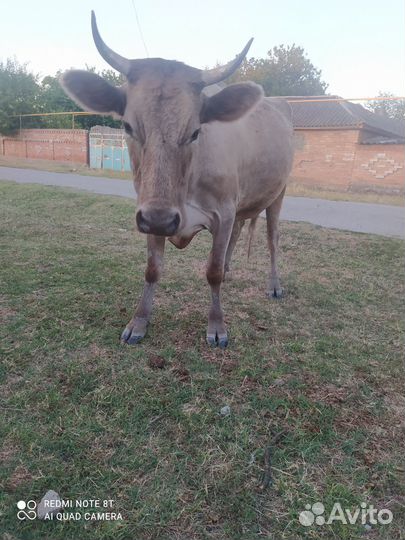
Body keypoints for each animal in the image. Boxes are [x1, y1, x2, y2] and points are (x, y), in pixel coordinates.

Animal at [60, 13, 294, 350]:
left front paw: (217, 326)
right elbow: (152, 269)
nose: (161, 218)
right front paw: (138, 323)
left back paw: (273, 285)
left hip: (279, 192)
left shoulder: (220, 211)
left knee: (272, 237)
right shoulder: (150, 212)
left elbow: (211, 272)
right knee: (238, 233)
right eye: (127, 126)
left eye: (195, 131)